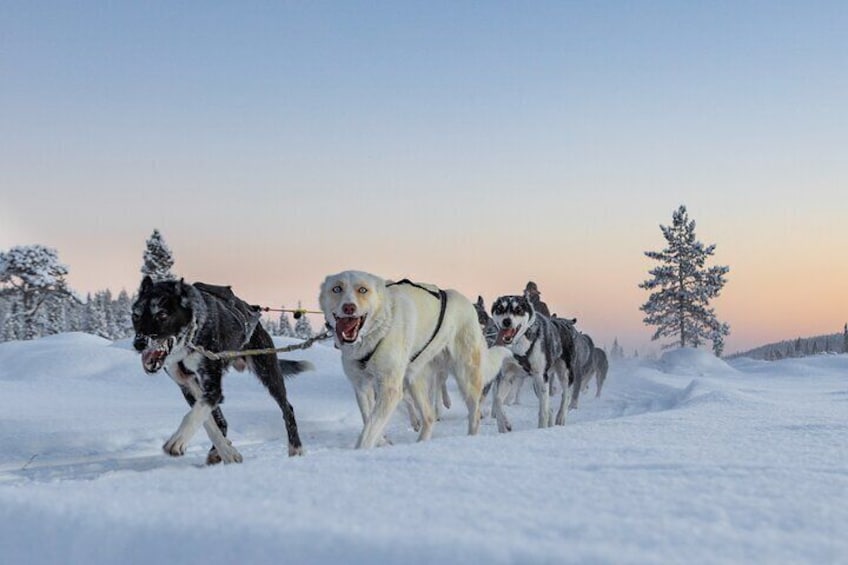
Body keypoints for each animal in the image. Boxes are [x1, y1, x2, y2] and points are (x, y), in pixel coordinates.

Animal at [134, 276, 314, 464]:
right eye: (136, 315)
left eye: (162, 315)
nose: (139, 343)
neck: (192, 336)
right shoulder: (188, 385)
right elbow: (208, 421)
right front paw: (227, 452)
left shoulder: (212, 388)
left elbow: (194, 415)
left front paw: (177, 441)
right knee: (221, 421)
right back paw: (217, 451)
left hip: (268, 373)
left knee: (287, 409)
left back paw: (296, 448)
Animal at [320, 270, 490, 448]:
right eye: (337, 288)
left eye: (363, 290)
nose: (348, 307)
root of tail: (467, 303)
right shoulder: (361, 385)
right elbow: (368, 420)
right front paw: (382, 442)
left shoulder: (390, 389)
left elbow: (370, 429)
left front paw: (362, 449)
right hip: (414, 378)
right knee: (429, 416)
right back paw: (421, 443)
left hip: (466, 375)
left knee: (474, 413)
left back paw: (470, 439)